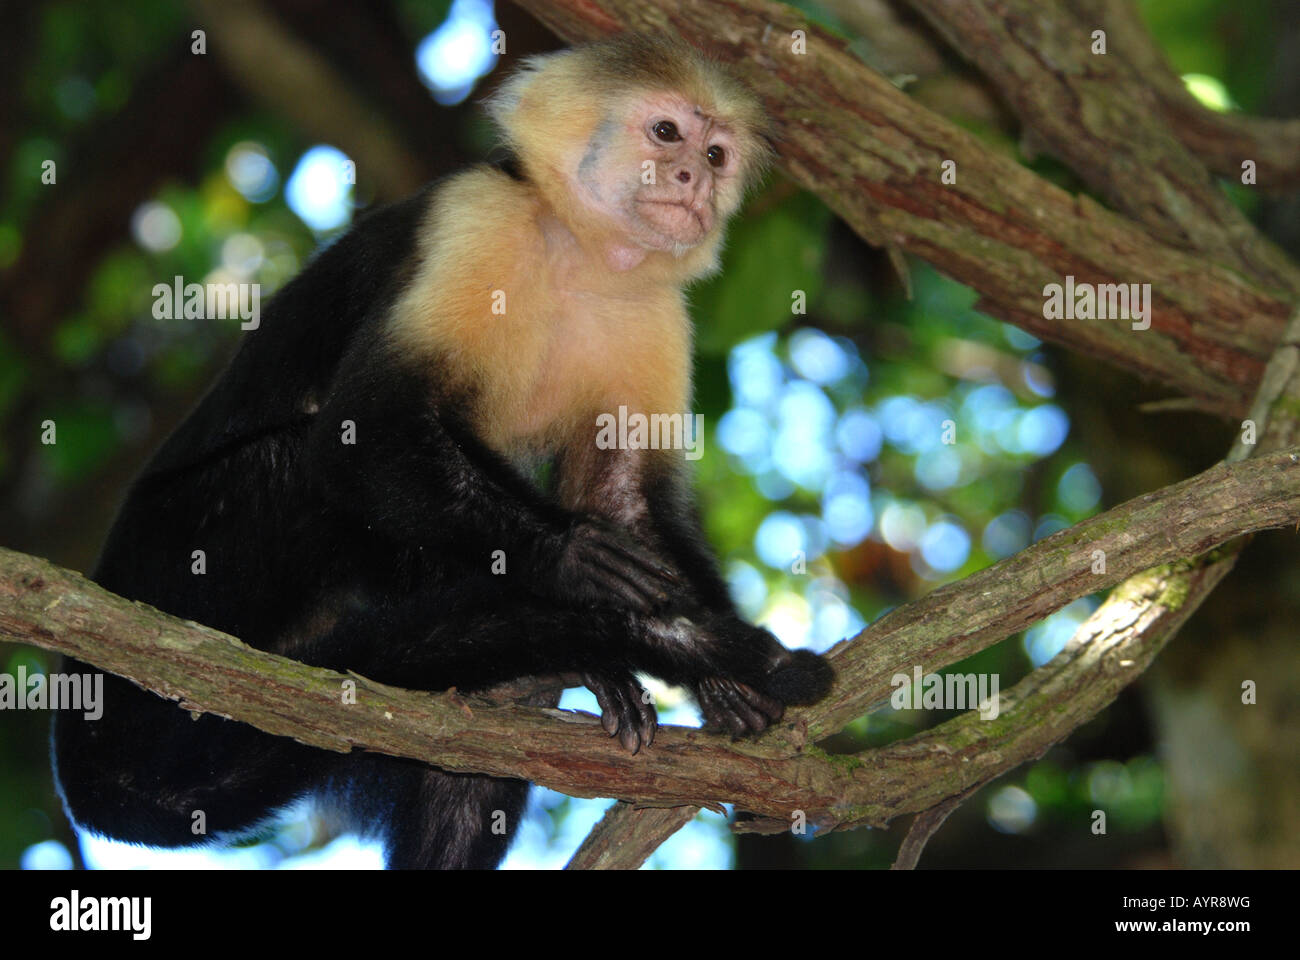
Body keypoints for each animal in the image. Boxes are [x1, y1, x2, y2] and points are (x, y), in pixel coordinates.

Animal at [50, 35, 832, 868]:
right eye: (666, 134)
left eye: (716, 155)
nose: (694, 180)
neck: (578, 254)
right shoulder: (476, 221)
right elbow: (364, 431)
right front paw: (575, 561)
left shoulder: (657, 312)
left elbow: (624, 498)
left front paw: (717, 677)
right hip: (174, 568)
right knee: (298, 470)